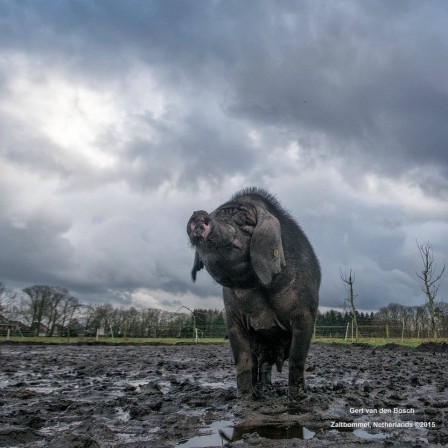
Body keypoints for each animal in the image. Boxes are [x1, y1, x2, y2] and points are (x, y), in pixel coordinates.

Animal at [187, 187, 320, 400]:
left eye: (244, 220)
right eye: (216, 214)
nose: (200, 213)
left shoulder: (305, 314)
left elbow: (297, 358)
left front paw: (298, 396)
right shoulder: (233, 319)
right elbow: (243, 359)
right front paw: (245, 395)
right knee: (262, 364)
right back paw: (261, 389)